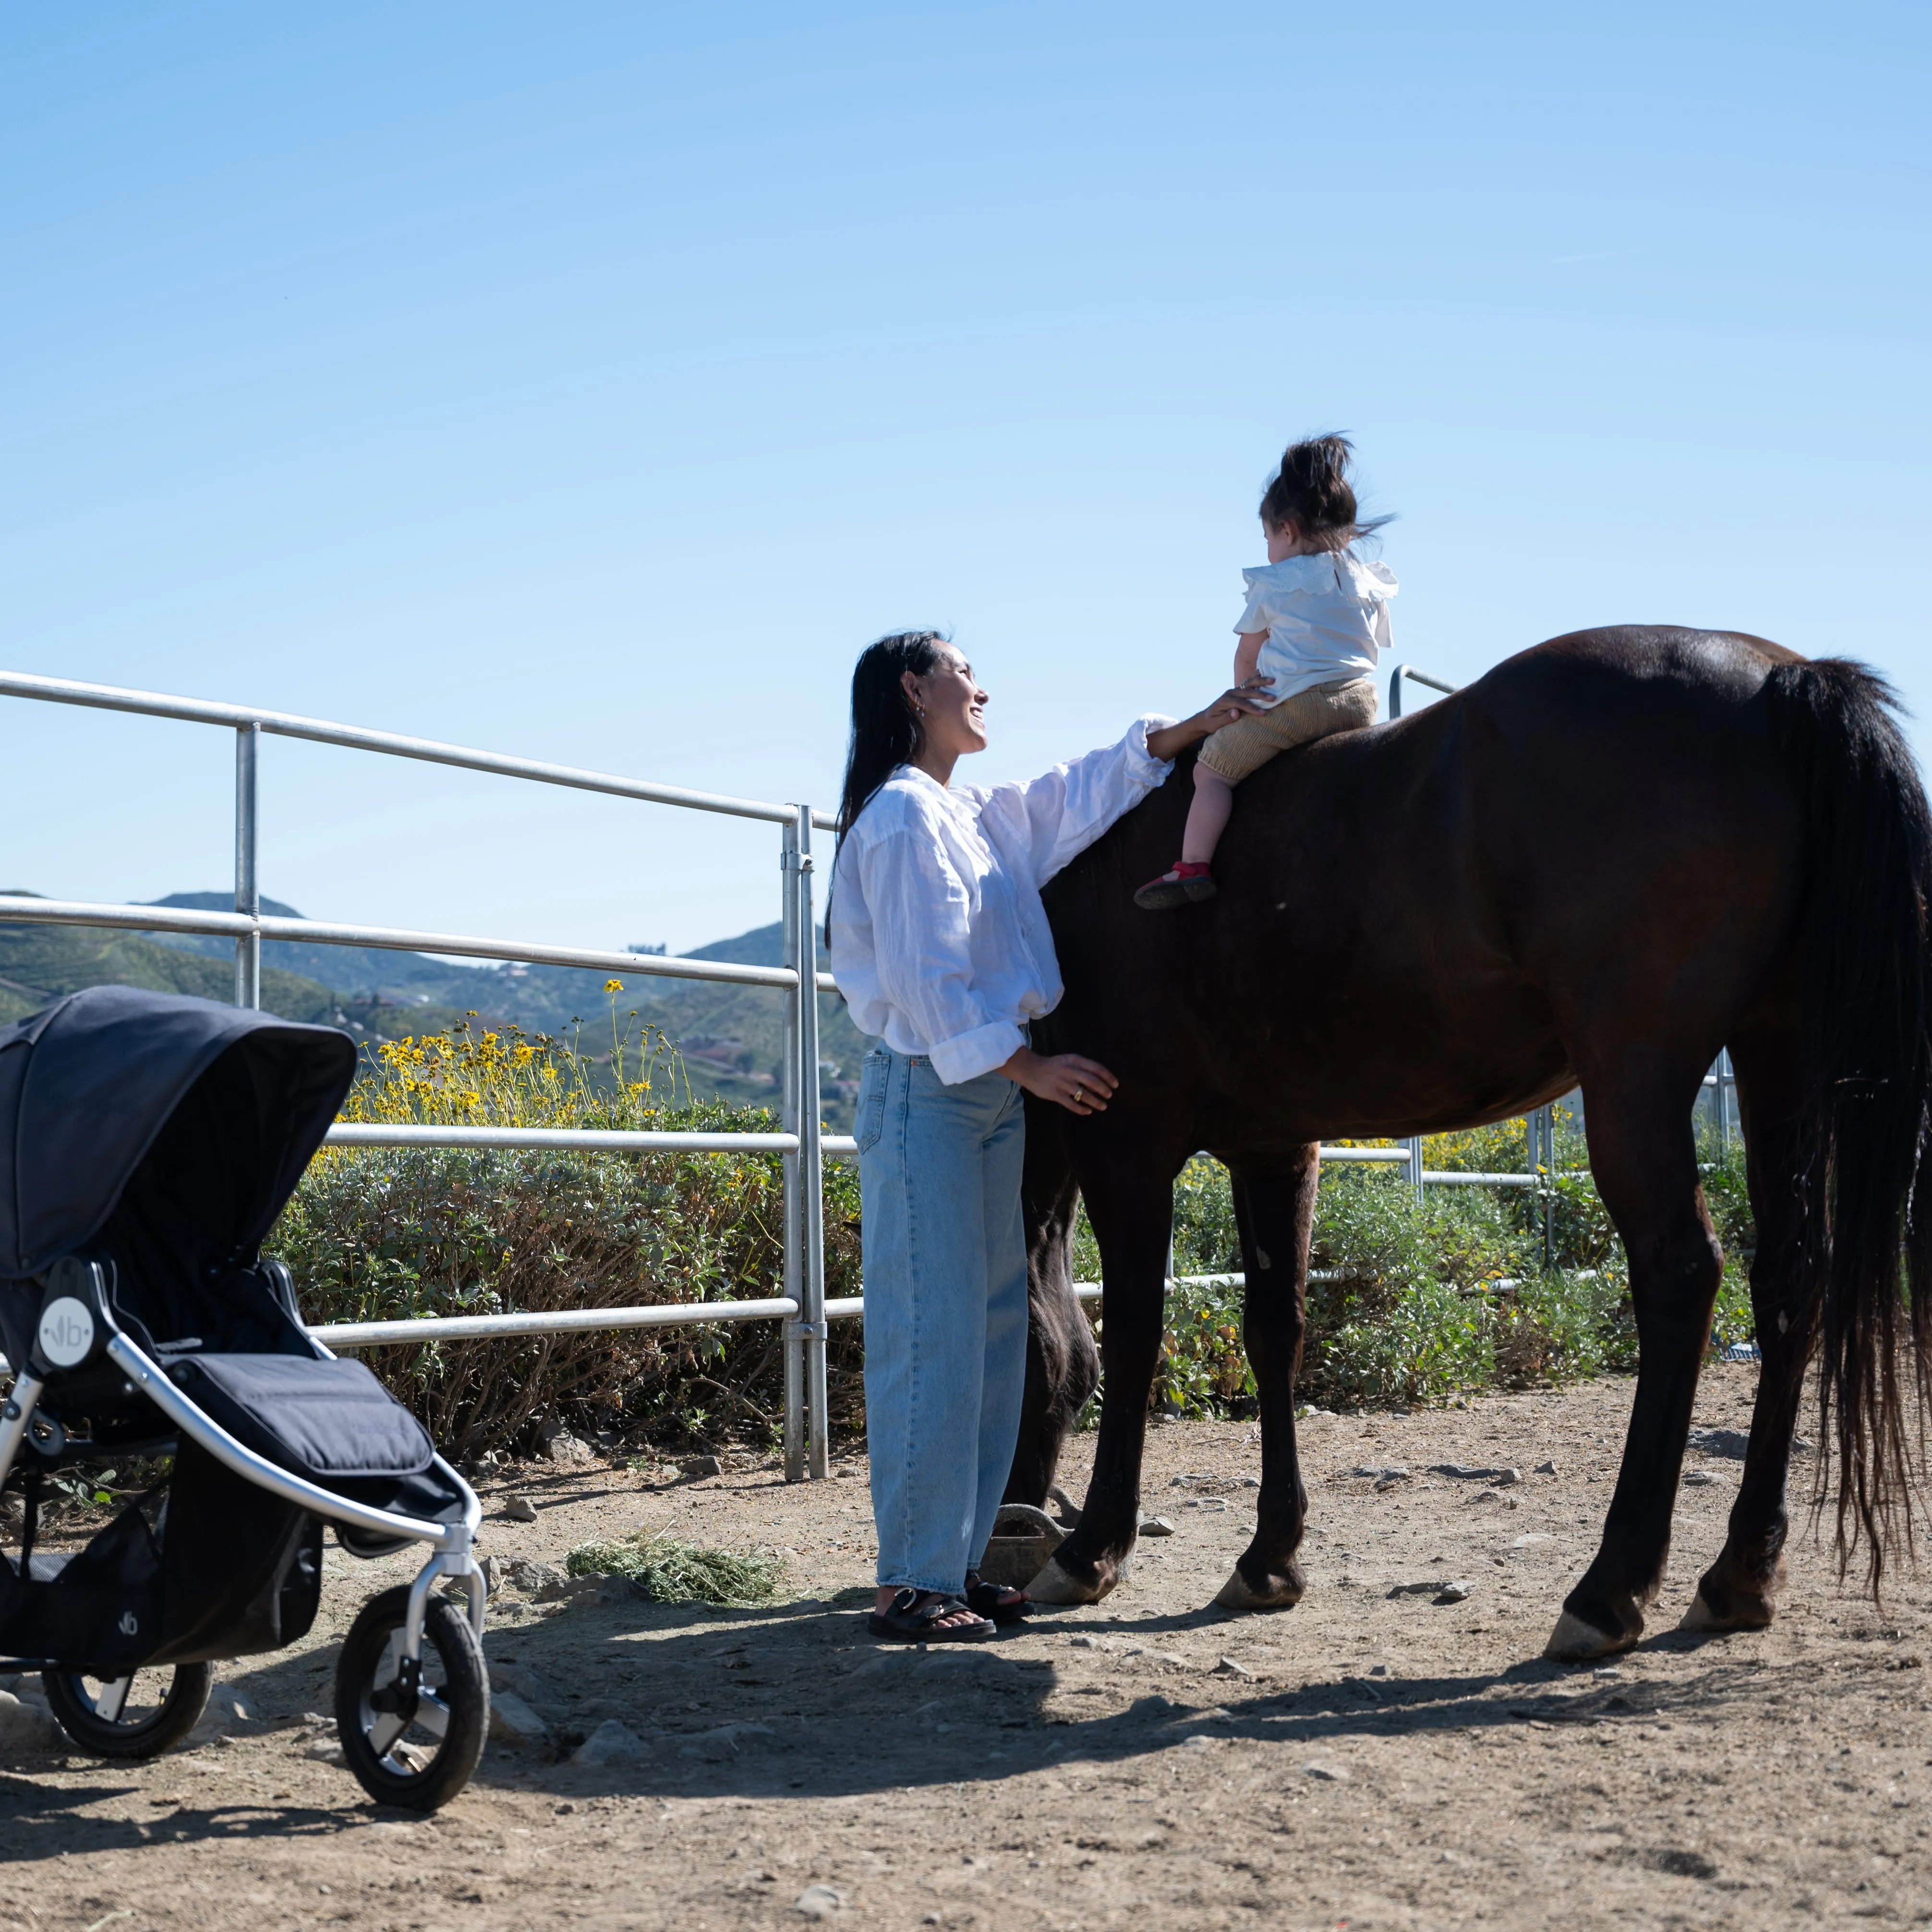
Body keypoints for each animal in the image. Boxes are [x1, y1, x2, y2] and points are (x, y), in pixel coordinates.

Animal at [1004, 629, 1932, 1661]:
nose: (1008, 1530)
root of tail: (1782, 677)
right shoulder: (1274, 1148)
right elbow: (1273, 1327)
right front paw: (1268, 1556)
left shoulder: (1125, 1142)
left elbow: (1131, 1329)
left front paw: (1090, 1546)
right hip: (1776, 1062)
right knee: (1786, 1281)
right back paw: (1738, 1572)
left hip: (1636, 1077)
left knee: (1680, 1274)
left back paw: (1609, 1586)